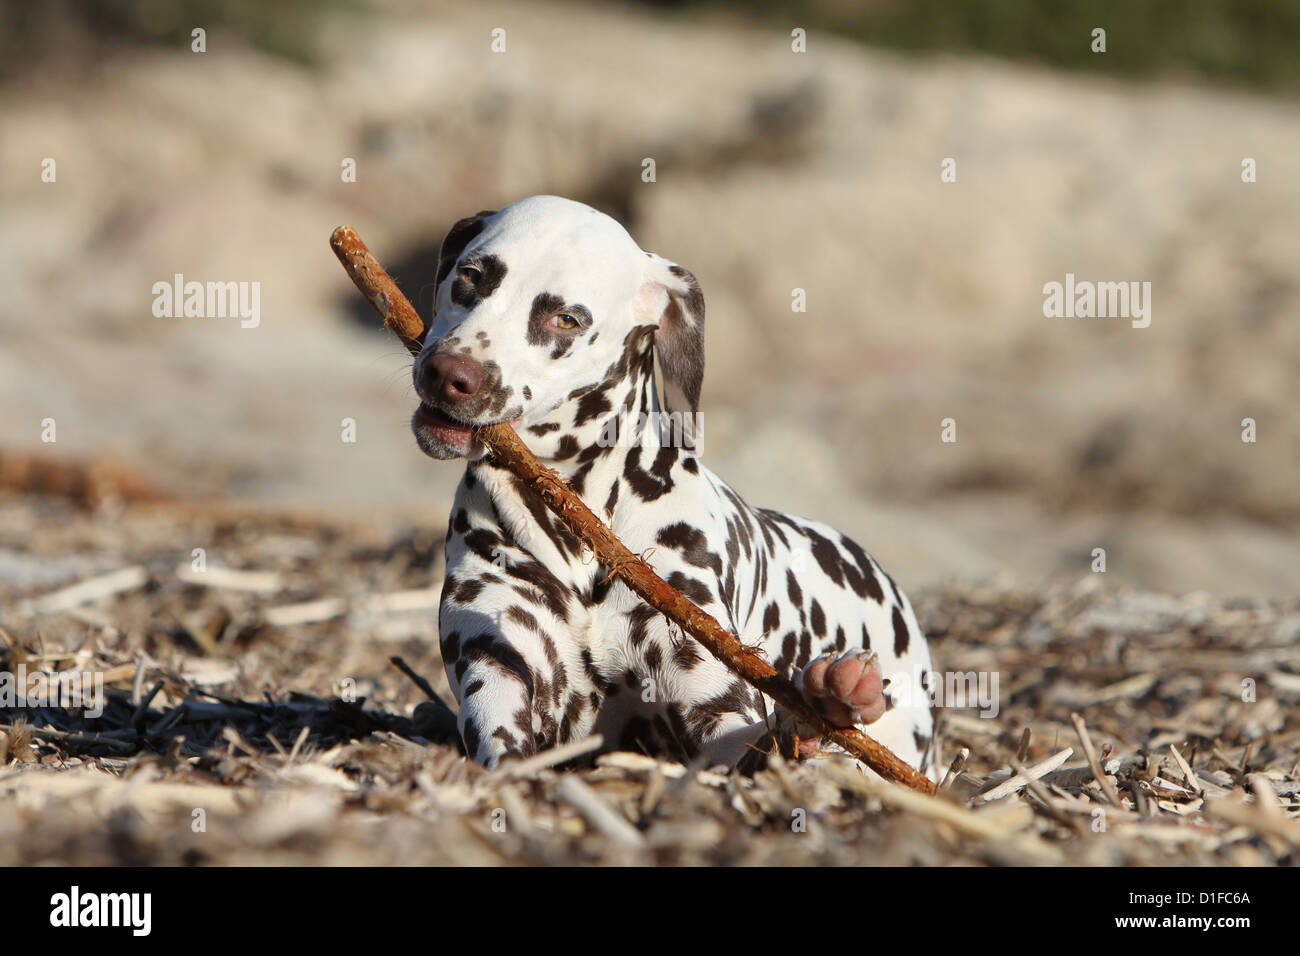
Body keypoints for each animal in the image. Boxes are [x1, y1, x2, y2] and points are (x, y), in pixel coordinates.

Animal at [410, 195, 930, 780]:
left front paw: (821, 708)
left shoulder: (718, 715)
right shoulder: (501, 680)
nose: (448, 373)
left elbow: (759, 744)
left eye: (565, 318)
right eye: (470, 277)